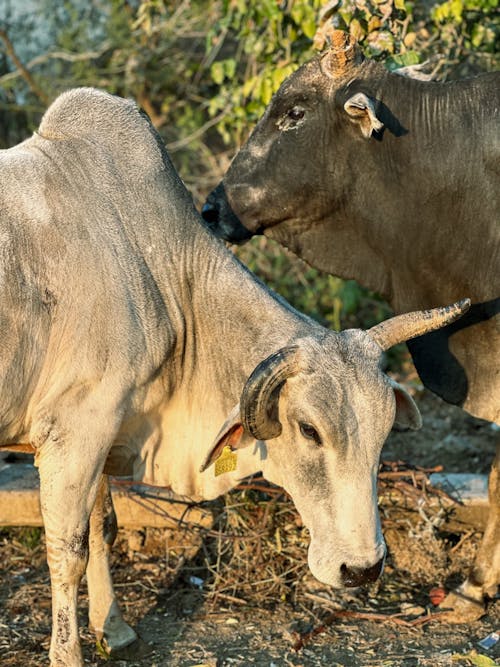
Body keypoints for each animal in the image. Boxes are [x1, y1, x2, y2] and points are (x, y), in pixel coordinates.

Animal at [0, 88, 468, 667]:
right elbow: (67, 553)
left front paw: (116, 629)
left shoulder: (100, 428)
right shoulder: (73, 433)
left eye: (385, 434)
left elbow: (103, 527)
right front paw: (69, 654)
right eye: (309, 430)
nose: (362, 569)